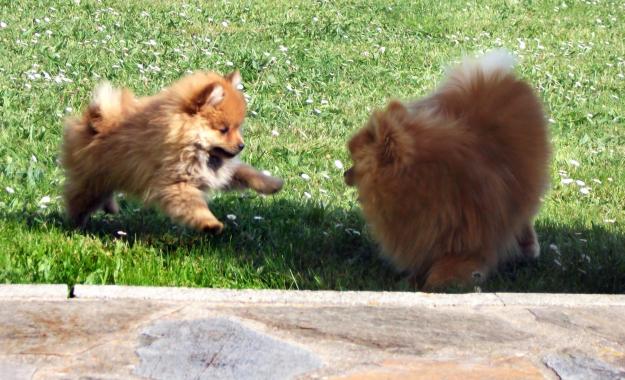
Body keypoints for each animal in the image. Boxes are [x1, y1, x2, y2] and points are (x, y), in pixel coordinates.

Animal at [61, 70, 282, 232]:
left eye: (238, 128)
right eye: (224, 129)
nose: (242, 145)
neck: (192, 146)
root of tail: (95, 122)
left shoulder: (217, 172)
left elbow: (246, 172)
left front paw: (272, 184)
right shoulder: (175, 183)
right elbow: (195, 206)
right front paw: (210, 224)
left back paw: (110, 207)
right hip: (93, 181)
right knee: (77, 199)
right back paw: (77, 225)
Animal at [344, 49, 548, 288]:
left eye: (354, 159)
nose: (344, 173)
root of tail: (489, 76)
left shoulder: (468, 241)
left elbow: (446, 271)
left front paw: (440, 285)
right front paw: (412, 282)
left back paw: (529, 249)